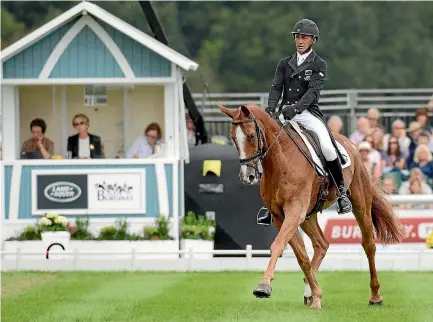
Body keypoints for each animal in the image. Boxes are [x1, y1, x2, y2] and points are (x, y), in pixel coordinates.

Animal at [218, 103, 404, 310]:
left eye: (251, 135)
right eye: (234, 138)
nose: (247, 176)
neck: (280, 160)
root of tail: (350, 144)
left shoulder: (294, 211)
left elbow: (278, 245)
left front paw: (264, 286)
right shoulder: (281, 216)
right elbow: (301, 256)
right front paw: (316, 294)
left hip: (360, 202)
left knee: (368, 245)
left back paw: (375, 296)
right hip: (309, 215)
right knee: (322, 244)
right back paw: (310, 292)